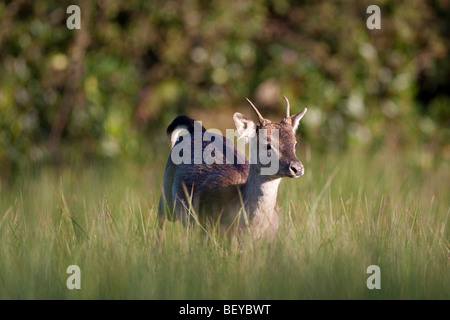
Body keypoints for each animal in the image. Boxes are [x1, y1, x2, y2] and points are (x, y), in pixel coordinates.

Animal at [156, 96, 308, 239]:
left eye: (295, 143)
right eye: (268, 145)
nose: (297, 168)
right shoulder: (208, 229)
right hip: (167, 191)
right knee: (160, 217)